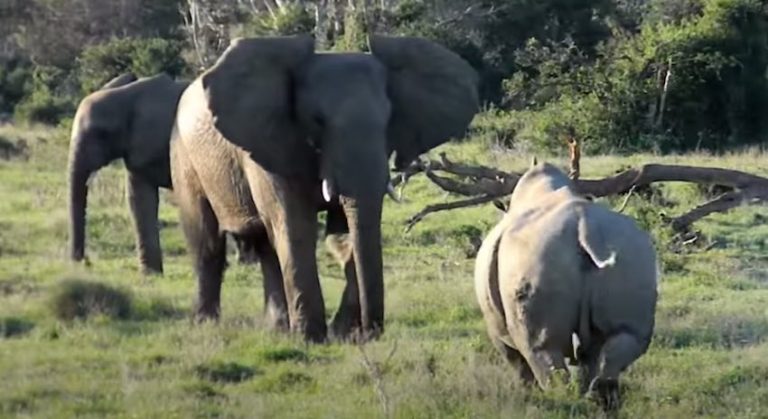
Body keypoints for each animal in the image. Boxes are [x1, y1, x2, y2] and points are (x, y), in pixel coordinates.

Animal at [170, 34, 479, 342]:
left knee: (265, 246)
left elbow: (342, 233)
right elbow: (295, 227)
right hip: (184, 156)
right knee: (207, 242)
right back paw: (207, 325)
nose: (370, 333)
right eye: (316, 120)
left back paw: (278, 328)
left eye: (389, 118)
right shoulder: (271, 143)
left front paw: (341, 334)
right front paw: (311, 339)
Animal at [474, 160, 658, 410]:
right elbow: (588, 360)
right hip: (631, 253)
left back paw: (561, 401)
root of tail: (584, 226)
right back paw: (600, 400)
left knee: (541, 350)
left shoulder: (496, 330)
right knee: (625, 339)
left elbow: (518, 364)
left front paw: (527, 396)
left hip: (537, 258)